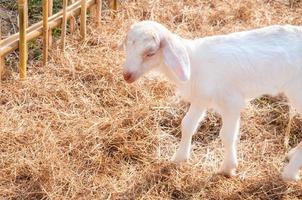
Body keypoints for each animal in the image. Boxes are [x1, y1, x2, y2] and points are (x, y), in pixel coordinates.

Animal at [120, 20, 302, 181]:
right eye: (127, 45)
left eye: (150, 53)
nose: (126, 75)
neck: (193, 63)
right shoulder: (200, 99)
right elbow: (187, 125)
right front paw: (179, 158)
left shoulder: (231, 102)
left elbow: (227, 136)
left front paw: (228, 168)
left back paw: (289, 173)